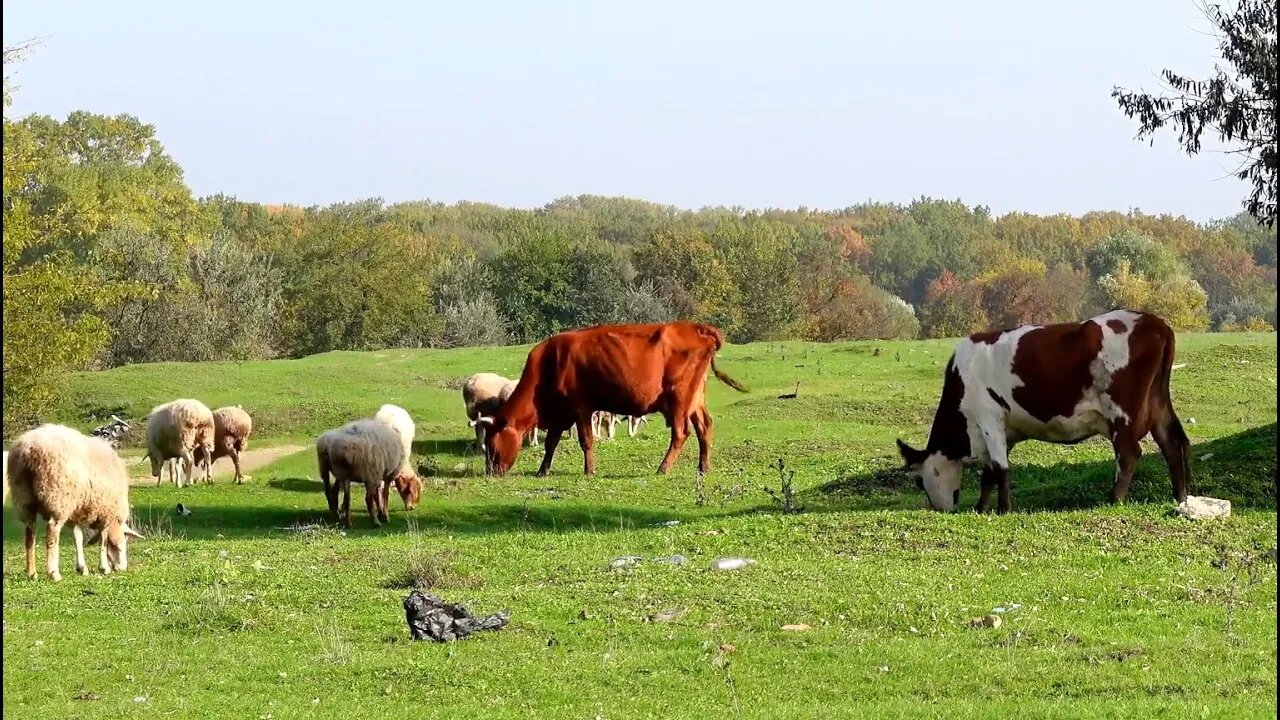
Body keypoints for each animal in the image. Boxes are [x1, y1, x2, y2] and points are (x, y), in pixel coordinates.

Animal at [6, 422, 145, 579]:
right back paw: (53, 573)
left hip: (23, 496)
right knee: (52, 533)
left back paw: (32, 572)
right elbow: (103, 541)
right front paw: (104, 567)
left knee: (30, 534)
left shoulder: (76, 510)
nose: (122, 568)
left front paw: (82, 568)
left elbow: (77, 537)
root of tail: (29, 449)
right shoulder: (105, 513)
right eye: (119, 547)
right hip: (58, 498)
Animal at [476, 320, 747, 476]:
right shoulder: (562, 413)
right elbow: (551, 442)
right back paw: (703, 467)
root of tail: (696, 327)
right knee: (704, 427)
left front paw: (589, 470)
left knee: (681, 433)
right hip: (695, 397)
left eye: (491, 445)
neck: (549, 364)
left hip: (679, 398)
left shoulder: (580, 407)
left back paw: (663, 468)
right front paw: (543, 470)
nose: (490, 472)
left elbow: (586, 441)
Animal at [901, 308, 1187, 509]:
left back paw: (1114, 499)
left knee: (1129, 455)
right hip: (1158, 404)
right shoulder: (1005, 431)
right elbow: (989, 473)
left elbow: (1000, 470)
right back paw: (1180, 495)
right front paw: (981, 507)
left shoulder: (989, 418)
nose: (939, 508)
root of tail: (1156, 323)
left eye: (919, 481)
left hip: (1121, 414)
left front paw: (1003, 509)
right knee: (1173, 443)